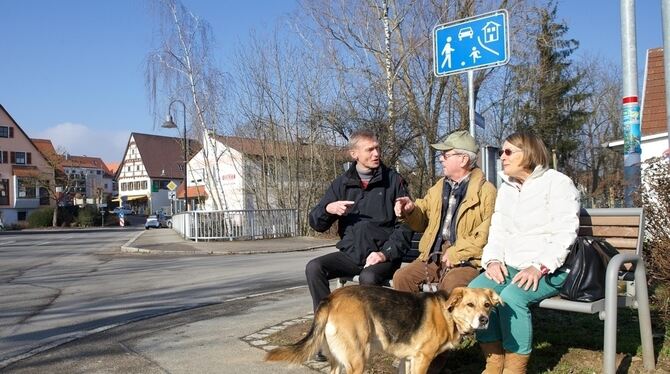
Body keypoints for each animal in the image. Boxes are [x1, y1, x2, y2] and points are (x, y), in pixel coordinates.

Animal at [266, 284, 502, 372]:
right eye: (470, 305)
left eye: (487, 305)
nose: (484, 320)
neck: (449, 314)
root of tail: (331, 298)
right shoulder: (422, 359)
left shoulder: (409, 360)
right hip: (358, 359)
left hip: (338, 360)